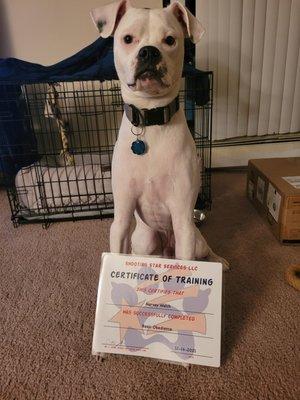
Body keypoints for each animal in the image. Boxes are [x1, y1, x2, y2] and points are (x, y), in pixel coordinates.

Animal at [90, 0, 229, 270]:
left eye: (170, 40)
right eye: (128, 38)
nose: (149, 52)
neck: (151, 120)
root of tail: (166, 246)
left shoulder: (183, 220)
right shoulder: (122, 218)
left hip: (195, 239)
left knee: (205, 250)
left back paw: (219, 260)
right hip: (145, 239)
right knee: (143, 252)